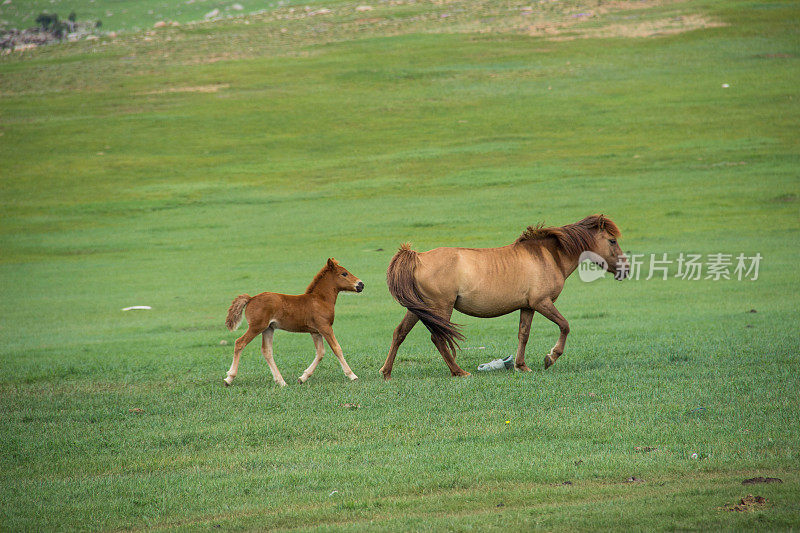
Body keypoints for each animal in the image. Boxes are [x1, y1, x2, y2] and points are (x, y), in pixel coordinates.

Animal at [223, 258, 364, 386]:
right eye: (344, 273)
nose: (361, 284)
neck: (320, 300)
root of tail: (251, 298)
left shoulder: (315, 331)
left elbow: (320, 353)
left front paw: (303, 378)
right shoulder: (325, 327)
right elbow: (337, 348)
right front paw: (352, 375)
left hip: (268, 328)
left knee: (267, 351)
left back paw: (281, 382)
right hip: (256, 327)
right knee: (239, 343)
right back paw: (229, 378)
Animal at [384, 213, 628, 378]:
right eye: (612, 241)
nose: (625, 269)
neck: (549, 256)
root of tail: (418, 258)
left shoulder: (528, 306)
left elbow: (523, 334)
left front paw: (521, 366)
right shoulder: (542, 303)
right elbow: (565, 325)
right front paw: (551, 357)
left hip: (419, 309)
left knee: (399, 333)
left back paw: (386, 372)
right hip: (440, 308)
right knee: (437, 338)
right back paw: (459, 372)